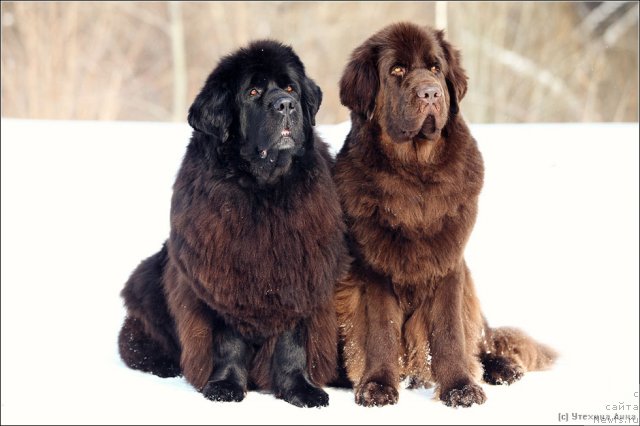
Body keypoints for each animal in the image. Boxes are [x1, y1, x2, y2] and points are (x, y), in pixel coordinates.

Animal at [117, 40, 348, 410]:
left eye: (290, 88)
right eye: (253, 92)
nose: (285, 105)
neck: (263, 191)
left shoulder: (300, 276)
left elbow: (292, 342)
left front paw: (301, 390)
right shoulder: (221, 280)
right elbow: (228, 341)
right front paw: (225, 386)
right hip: (150, 275)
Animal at [336, 23, 556, 410]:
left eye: (435, 68)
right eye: (397, 70)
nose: (430, 92)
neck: (415, 174)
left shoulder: (449, 263)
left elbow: (450, 330)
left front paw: (461, 387)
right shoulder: (372, 269)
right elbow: (381, 330)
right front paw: (377, 386)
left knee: (481, 340)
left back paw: (503, 368)